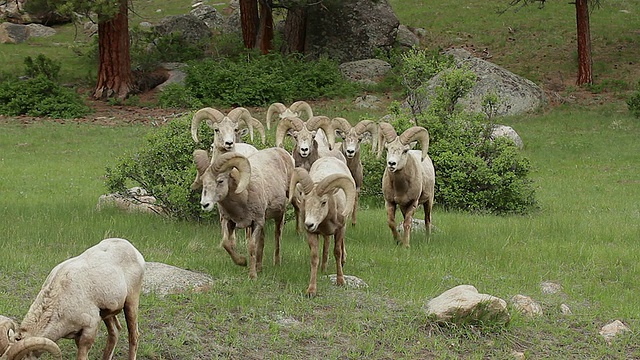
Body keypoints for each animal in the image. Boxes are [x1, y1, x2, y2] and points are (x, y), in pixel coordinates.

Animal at [0, 239, 145, 360]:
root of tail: (134, 250)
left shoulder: (89, 330)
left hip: (131, 302)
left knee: (134, 336)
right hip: (108, 314)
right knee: (114, 332)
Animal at [192, 146, 296, 278]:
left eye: (220, 181)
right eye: (203, 181)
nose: (205, 204)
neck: (242, 200)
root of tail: (282, 152)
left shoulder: (256, 222)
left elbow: (251, 246)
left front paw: (252, 275)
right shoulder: (228, 221)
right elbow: (226, 243)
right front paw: (242, 262)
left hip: (279, 215)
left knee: (277, 236)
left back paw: (276, 264)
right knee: (262, 241)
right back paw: (259, 267)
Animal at [288, 157, 358, 296]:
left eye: (324, 202)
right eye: (305, 200)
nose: (309, 224)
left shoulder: (340, 229)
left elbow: (337, 252)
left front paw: (341, 281)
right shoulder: (312, 234)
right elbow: (315, 257)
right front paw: (311, 290)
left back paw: (343, 261)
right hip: (325, 235)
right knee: (326, 247)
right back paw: (323, 268)